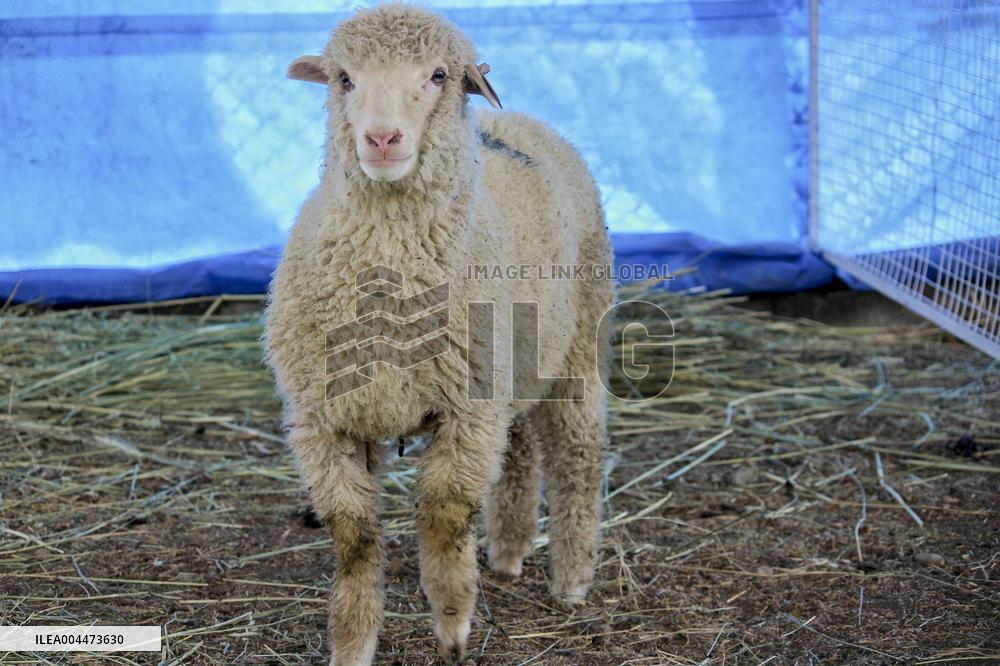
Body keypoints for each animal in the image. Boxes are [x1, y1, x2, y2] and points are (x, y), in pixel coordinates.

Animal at [263, 4, 614, 663]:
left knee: (576, 454)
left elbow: (445, 515)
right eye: (343, 78)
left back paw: (572, 579)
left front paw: (452, 625)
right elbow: (353, 535)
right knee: (519, 448)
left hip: (580, 342)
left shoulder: (466, 413)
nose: (381, 139)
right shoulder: (323, 420)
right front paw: (353, 641)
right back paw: (508, 552)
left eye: (439, 75)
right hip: (512, 361)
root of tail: (520, 121)